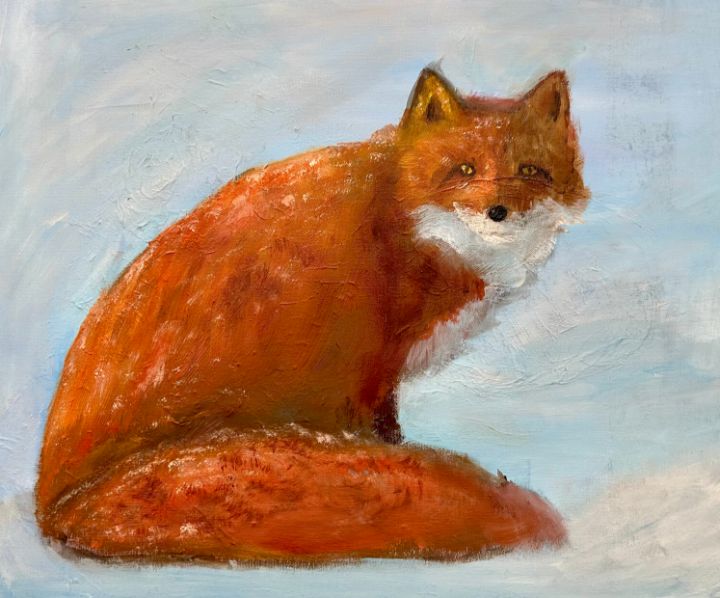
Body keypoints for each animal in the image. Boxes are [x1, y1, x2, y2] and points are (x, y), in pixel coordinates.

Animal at [36, 67, 588, 563]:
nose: (498, 211)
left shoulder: (381, 381)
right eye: (465, 170)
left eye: (530, 171)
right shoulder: (366, 372)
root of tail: (54, 506)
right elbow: (383, 440)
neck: (410, 228)